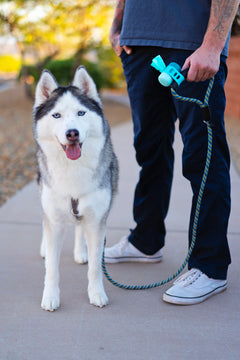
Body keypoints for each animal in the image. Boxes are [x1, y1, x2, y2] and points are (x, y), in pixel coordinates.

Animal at [33, 66, 119, 310]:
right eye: (56, 115)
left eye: (81, 113)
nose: (72, 133)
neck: (72, 169)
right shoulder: (54, 217)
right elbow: (52, 269)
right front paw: (50, 297)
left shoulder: (97, 220)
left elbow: (95, 268)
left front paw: (96, 293)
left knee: (80, 228)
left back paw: (81, 251)